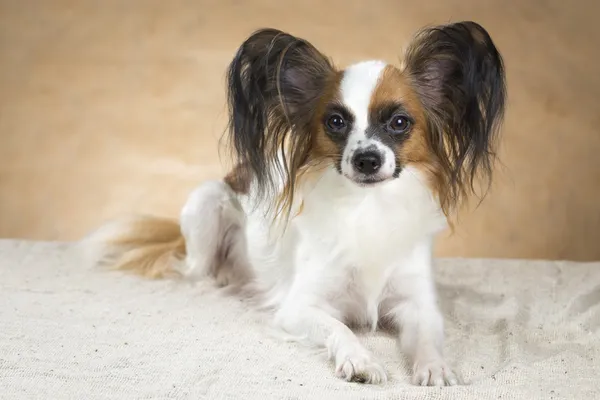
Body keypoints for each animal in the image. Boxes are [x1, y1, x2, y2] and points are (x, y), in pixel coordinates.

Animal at [85, 20, 506, 386]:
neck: (366, 206)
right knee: (191, 269)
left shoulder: (417, 303)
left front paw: (435, 367)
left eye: (400, 122)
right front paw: (360, 359)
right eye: (335, 122)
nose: (366, 159)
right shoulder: (300, 307)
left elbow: (427, 338)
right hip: (208, 203)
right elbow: (339, 327)